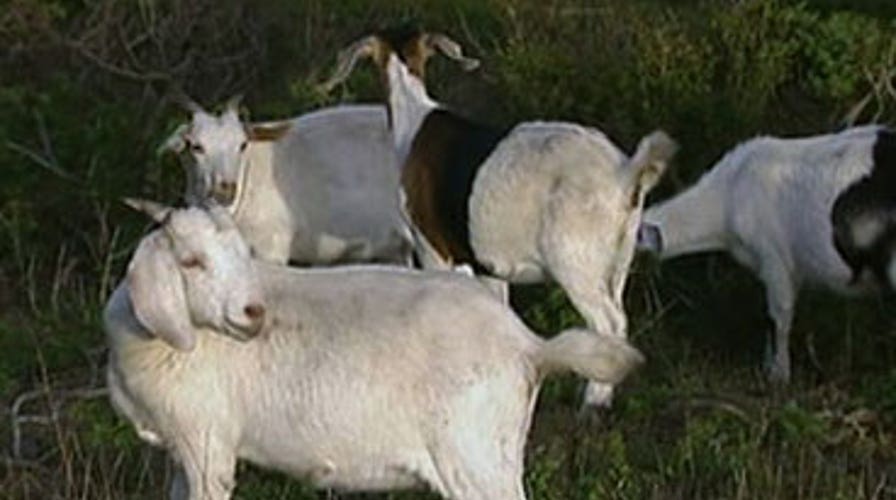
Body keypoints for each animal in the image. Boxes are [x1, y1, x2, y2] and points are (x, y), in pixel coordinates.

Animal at [104, 200, 644, 500]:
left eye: (241, 254)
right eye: (190, 261)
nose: (253, 312)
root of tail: (527, 344)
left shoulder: (207, 448)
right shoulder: (179, 453)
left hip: (476, 461)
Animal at [320, 26, 676, 408]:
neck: (414, 118)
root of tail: (624, 173)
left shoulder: (432, 248)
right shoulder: (488, 265)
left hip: (575, 259)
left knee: (608, 322)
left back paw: (592, 403)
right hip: (618, 256)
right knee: (620, 321)